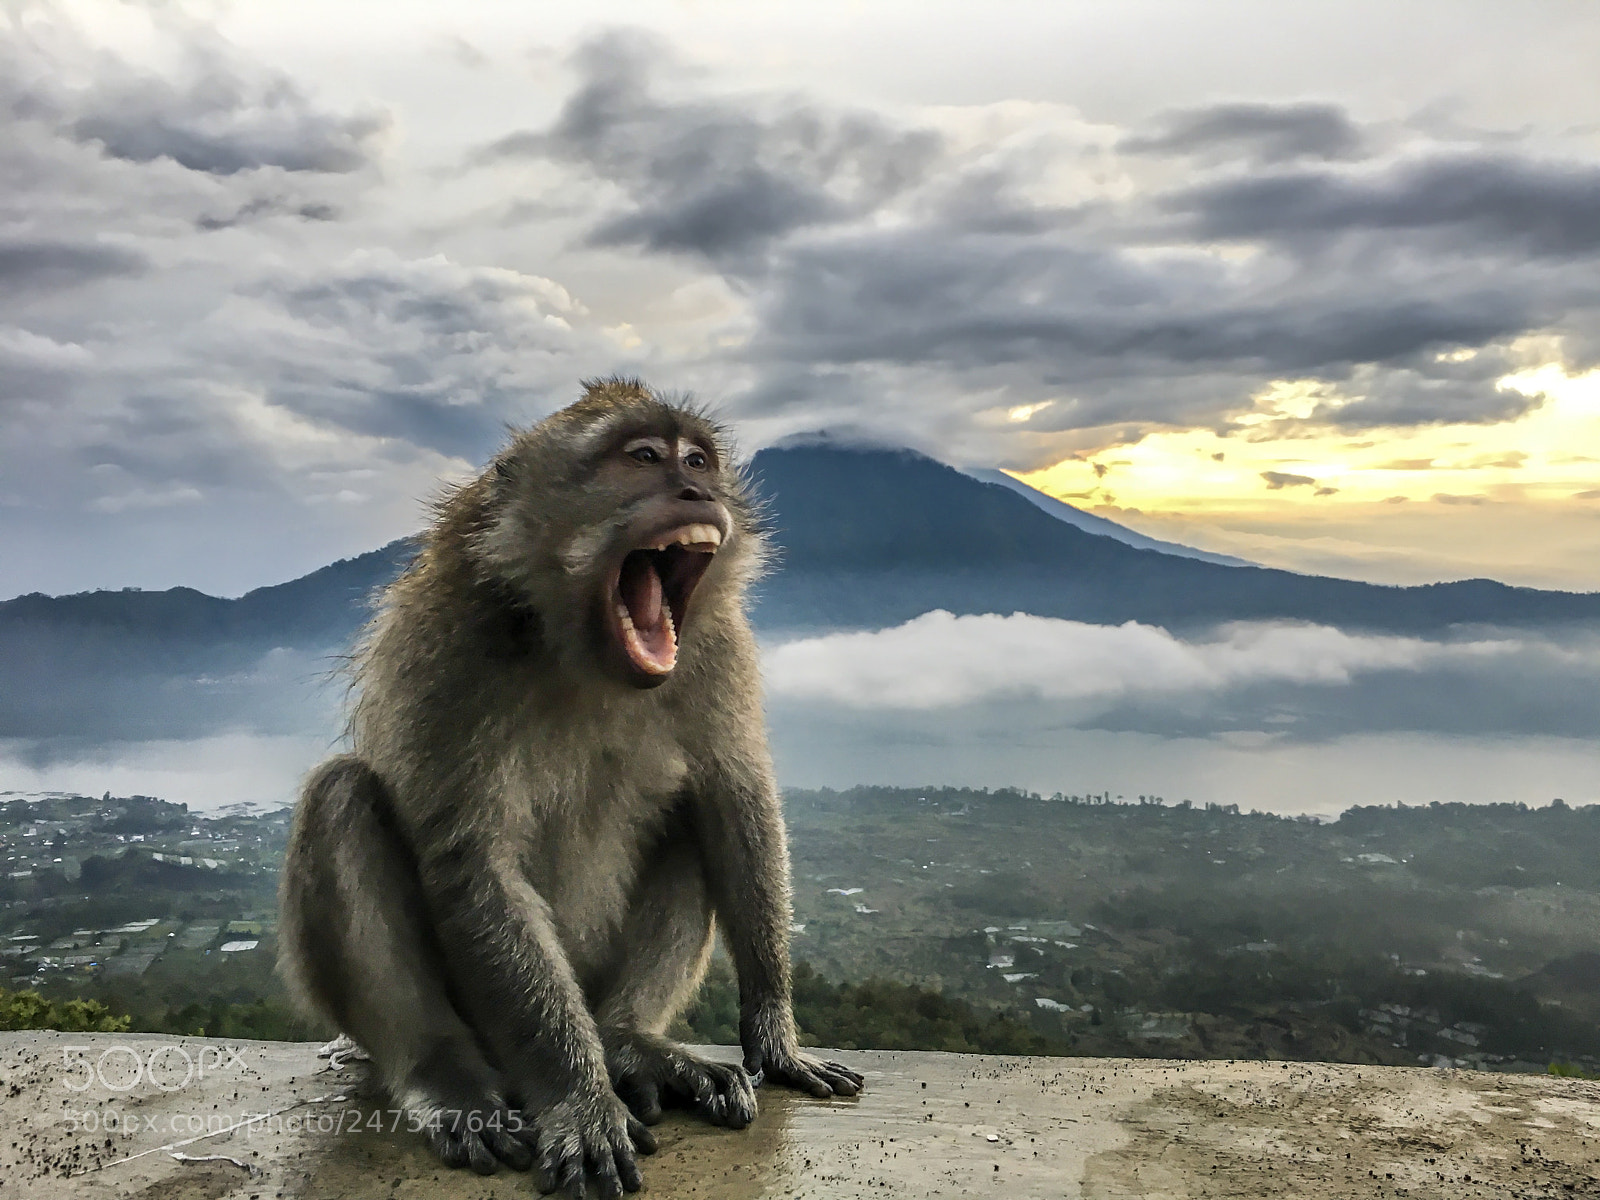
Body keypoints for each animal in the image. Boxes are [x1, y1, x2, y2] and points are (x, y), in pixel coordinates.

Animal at [278, 378, 862, 1198]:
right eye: (643, 457)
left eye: (698, 460)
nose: (698, 491)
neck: (583, 651)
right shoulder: (448, 650)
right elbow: (474, 863)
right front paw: (579, 1101)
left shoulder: (719, 648)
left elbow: (734, 801)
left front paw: (776, 1038)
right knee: (341, 799)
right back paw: (446, 1075)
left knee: (688, 816)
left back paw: (628, 1042)